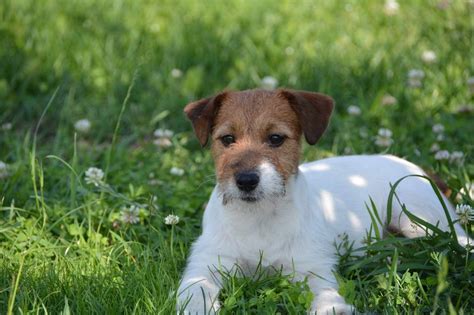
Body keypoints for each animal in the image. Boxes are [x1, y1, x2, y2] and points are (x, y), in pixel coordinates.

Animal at [177, 87, 470, 314]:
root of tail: (421, 170)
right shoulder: (207, 261)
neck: (258, 218)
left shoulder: (312, 265)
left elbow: (324, 290)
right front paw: (196, 308)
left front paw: (332, 308)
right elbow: (196, 288)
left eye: (275, 138)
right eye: (227, 139)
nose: (246, 180)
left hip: (420, 219)